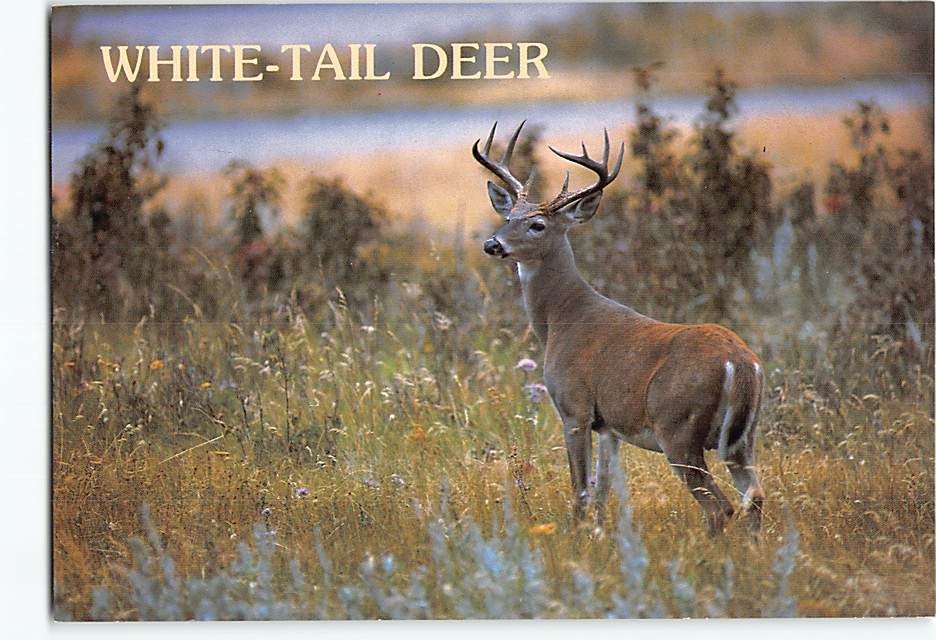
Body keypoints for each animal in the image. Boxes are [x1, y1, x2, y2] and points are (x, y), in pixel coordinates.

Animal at [473, 121, 766, 536]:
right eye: (508, 215)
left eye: (538, 224)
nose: (492, 244)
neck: (562, 319)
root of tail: (739, 363)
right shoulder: (609, 427)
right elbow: (603, 491)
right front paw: (599, 535)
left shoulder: (575, 408)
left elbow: (580, 491)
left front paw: (577, 537)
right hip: (743, 438)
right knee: (753, 497)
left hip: (679, 428)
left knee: (719, 507)